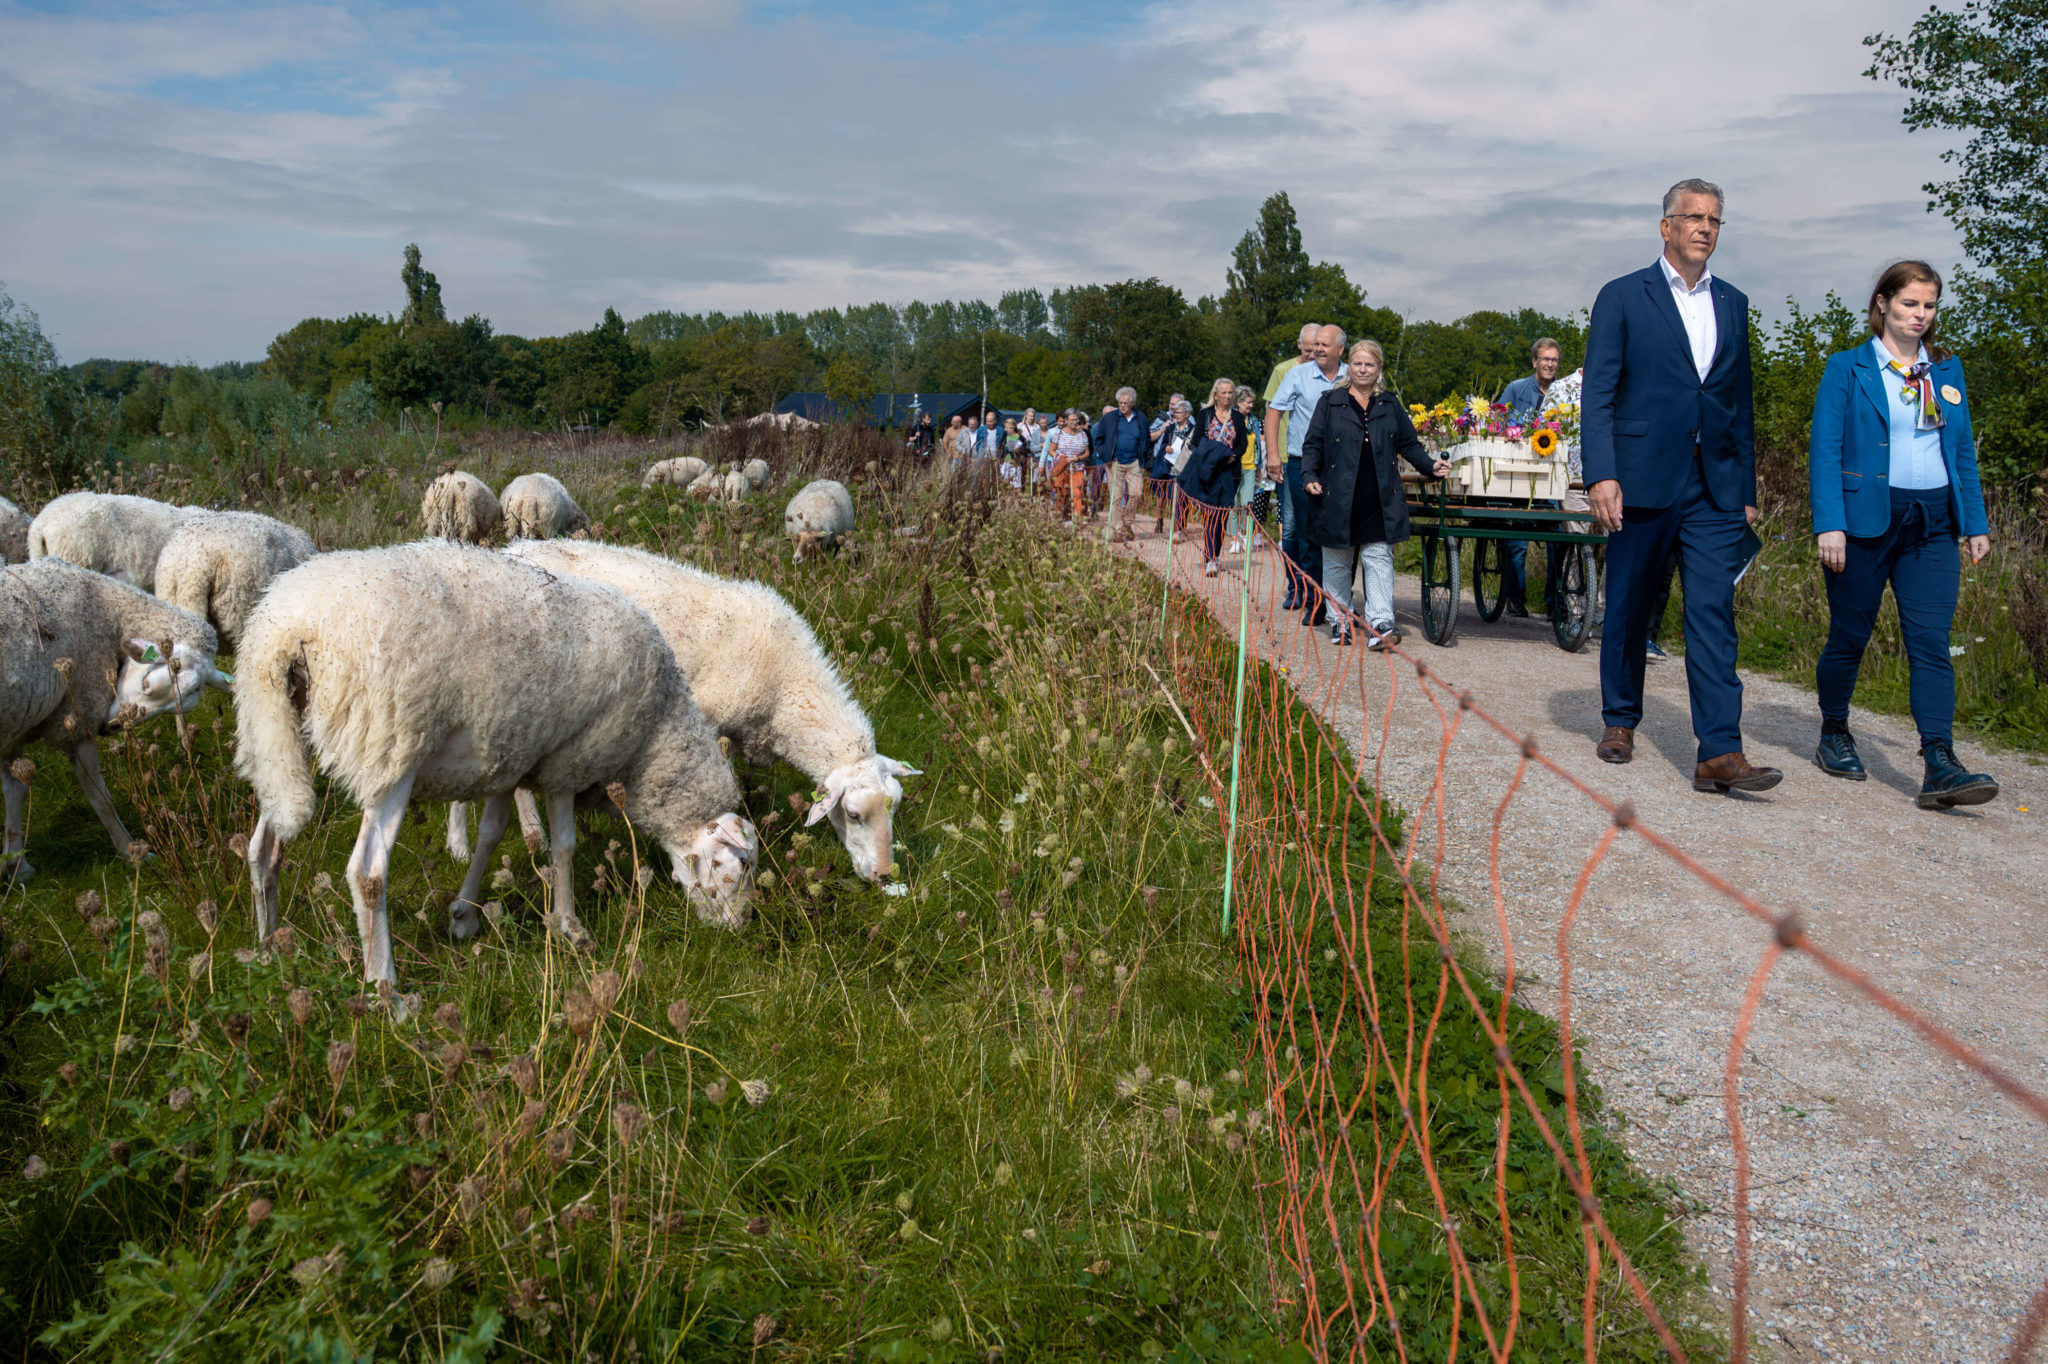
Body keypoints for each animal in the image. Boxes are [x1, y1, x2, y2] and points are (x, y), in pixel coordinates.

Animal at [0, 557, 232, 876]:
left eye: (173, 708)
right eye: (147, 682)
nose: (110, 726)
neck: (109, 608)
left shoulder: (18, 726)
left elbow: (15, 791)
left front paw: (16, 865)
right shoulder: (79, 717)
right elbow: (101, 798)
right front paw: (131, 852)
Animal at [234, 536, 761, 995]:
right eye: (736, 867)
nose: (739, 931)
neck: (652, 742)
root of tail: (285, 631)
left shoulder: (514, 757)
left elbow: (492, 832)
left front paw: (464, 915)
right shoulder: (569, 762)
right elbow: (564, 847)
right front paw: (572, 928)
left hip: (275, 735)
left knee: (264, 846)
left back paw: (269, 947)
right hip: (391, 749)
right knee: (367, 874)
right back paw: (387, 992)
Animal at [503, 536, 921, 876]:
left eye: (896, 807)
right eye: (853, 815)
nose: (883, 874)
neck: (786, 686)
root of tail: (513, 548)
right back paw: (535, 836)